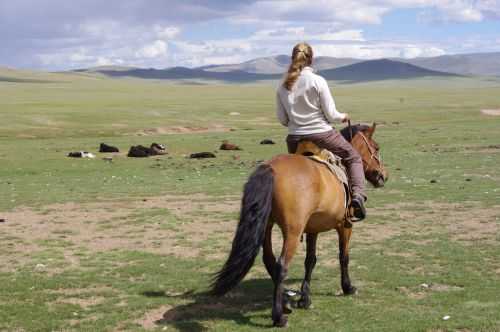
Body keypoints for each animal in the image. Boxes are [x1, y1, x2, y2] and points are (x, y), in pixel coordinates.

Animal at [211, 122, 386, 326]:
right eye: (376, 148)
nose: (383, 176)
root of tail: (270, 168)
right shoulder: (345, 225)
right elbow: (344, 256)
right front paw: (347, 287)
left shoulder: (313, 229)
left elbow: (310, 260)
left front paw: (305, 298)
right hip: (293, 232)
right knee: (281, 266)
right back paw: (279, 316)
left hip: (267, 227)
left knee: (269, 260)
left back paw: (286, 302)